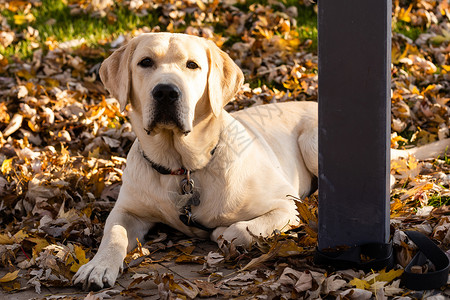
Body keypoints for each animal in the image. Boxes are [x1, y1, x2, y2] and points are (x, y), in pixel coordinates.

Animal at [74, 33, 450, 290]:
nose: (166, 91)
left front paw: (226, 232)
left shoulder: (284, 206)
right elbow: (114, 234)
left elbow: (240, 228)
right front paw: (98, 266)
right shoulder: (128, 210)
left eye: (192, 65)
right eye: (145, 63)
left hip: (314, 140)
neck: (184, 166)